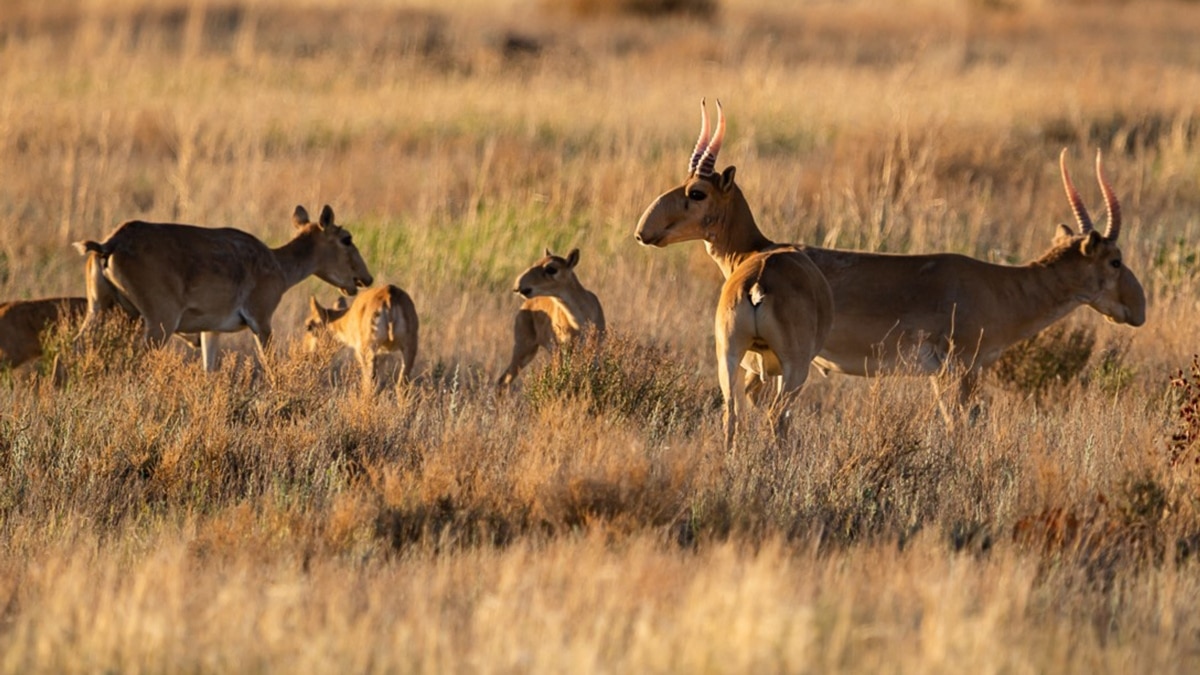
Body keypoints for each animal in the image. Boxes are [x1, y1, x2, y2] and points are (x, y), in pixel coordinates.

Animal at [73, 205, 372, 372]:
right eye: (346, 238)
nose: (365, 278)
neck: (278, 265)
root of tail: (109, 244)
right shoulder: (261, 320)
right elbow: (271, 366)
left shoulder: (211, 329)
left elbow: (209, 370)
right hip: (159, 321)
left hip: (100, 309)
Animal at [499, 247, 609, 386]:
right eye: (536, 262)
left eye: (551, 268)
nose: (518, 284)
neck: (580, 321)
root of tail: (525, 305)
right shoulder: (560, 350)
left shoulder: (595, 350)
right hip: (524, 347)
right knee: (504, 379)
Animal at [633, 102, 830, 449]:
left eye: (697, 192)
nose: (644, 231)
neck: (756, 250)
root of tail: (758, 284)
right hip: (792, 368)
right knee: (776, 415)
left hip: (728, 354)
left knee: (731, 414)